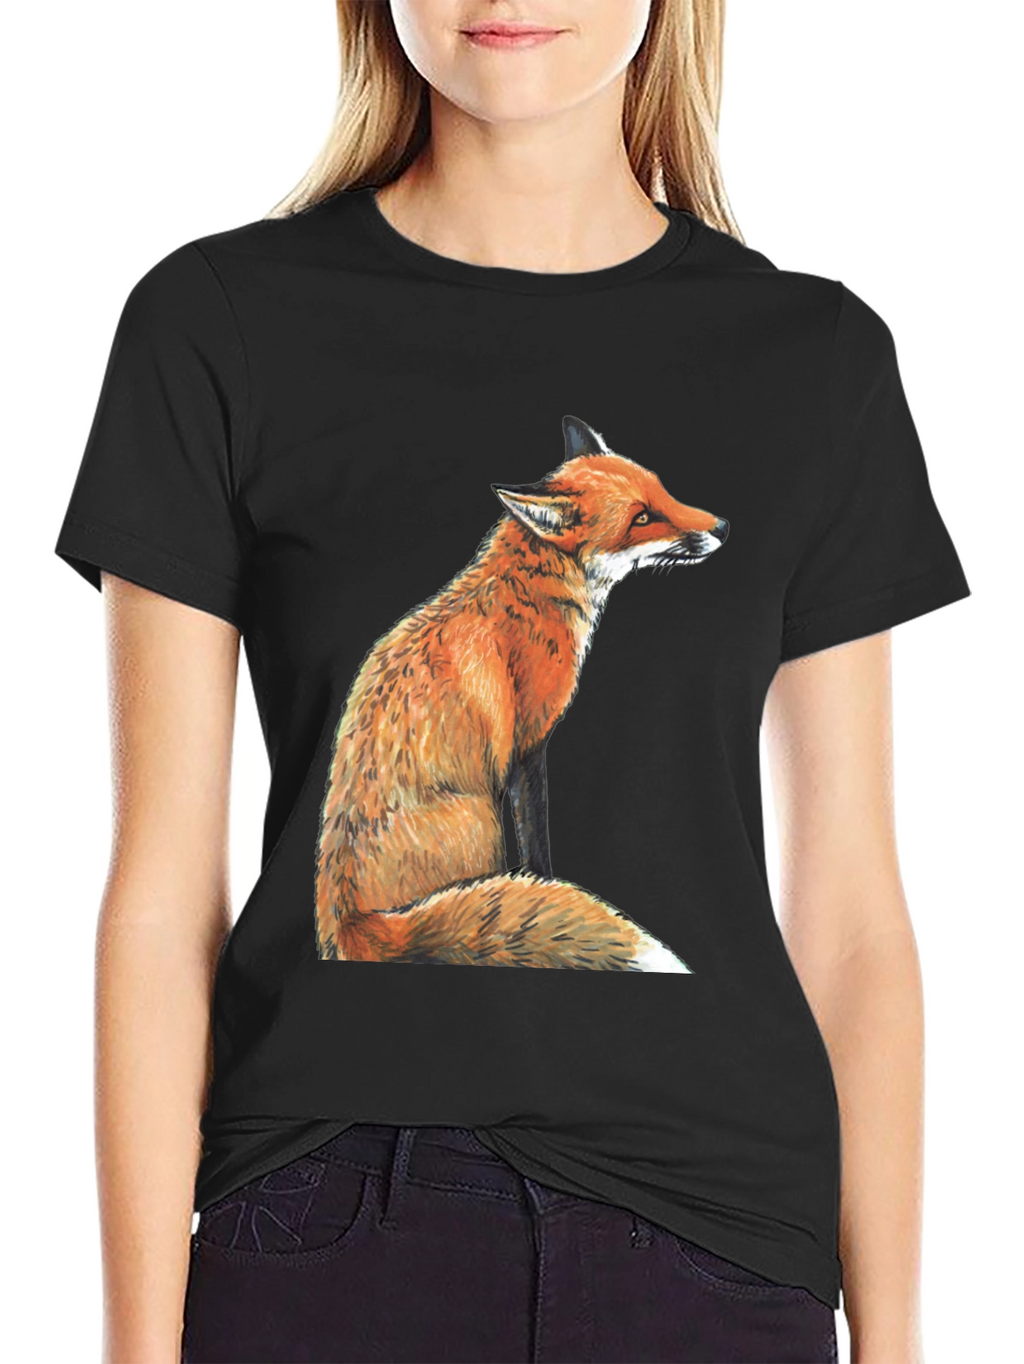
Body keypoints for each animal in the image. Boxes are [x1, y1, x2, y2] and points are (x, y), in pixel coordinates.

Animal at [316, 416, 727, 970]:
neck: (530, 593)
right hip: (482, 820)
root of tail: (347, 921)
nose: (721, 526)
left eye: (662, 490)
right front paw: (545, 882)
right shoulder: (528, 739)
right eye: (641, 518)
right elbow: (536, 844)